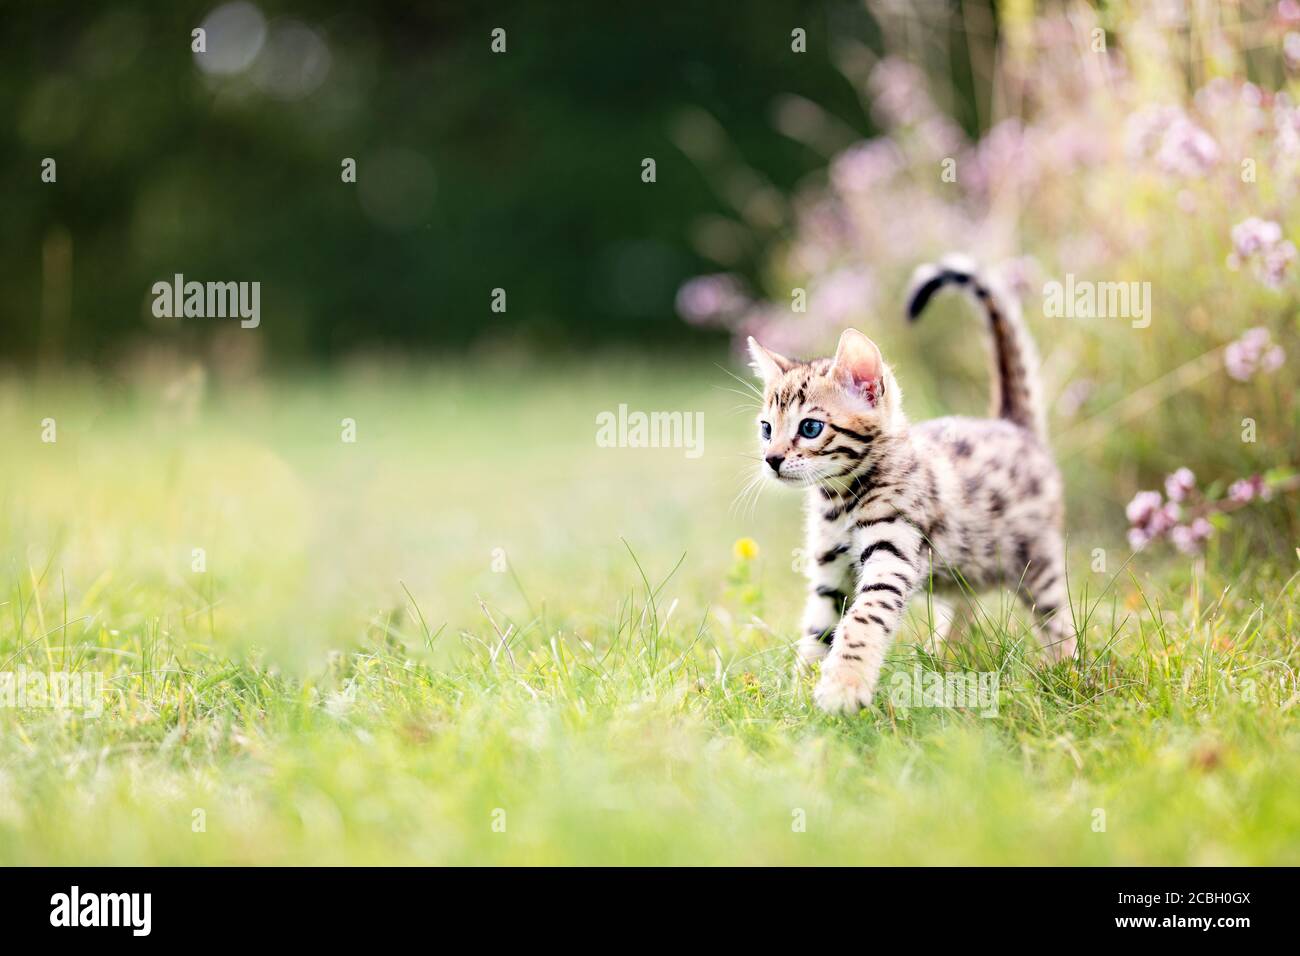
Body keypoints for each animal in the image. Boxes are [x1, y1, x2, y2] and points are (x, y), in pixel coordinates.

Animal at [754, 257, 1076, 712]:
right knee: (962, 608)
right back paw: (945, 661)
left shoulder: (891, 557)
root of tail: (1012, 423)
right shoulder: (829, 573)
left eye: (810, 427)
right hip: (964, 569)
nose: (772, 459)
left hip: (1038, 560)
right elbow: (818, 631)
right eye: (766, 428)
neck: (839, 503)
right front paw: (799, 690)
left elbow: (861, 622)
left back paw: (1066, 671)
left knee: (1057, 622)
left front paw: (843, 687)